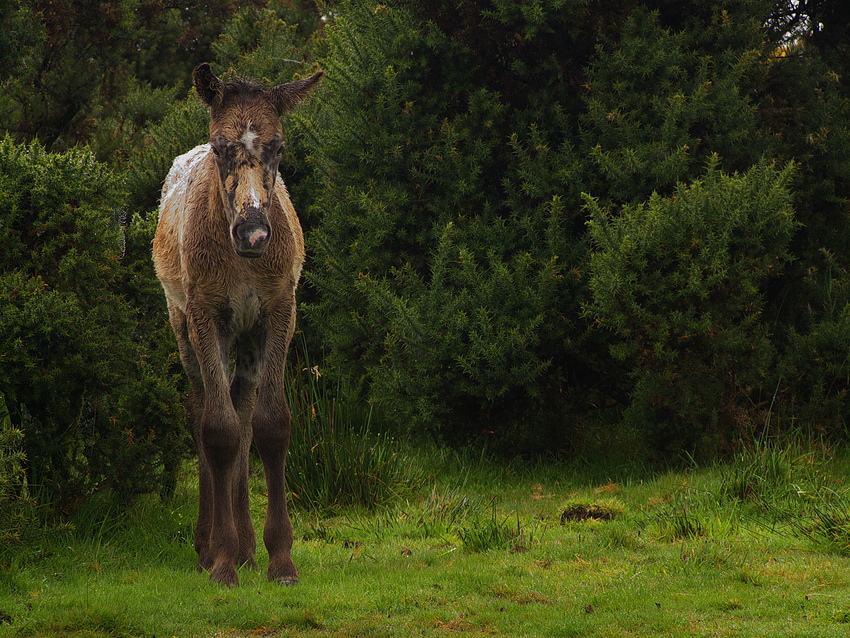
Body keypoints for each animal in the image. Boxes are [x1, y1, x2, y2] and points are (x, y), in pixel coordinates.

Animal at [151, 65, 320, 592]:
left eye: (278, 146)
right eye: (220, 146)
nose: (254, 233)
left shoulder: (278, 311)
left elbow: (269, 425)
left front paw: (279, 558)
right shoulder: (206, 314)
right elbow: (218, 429)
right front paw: (221, 560)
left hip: (245, 341)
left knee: (243, 415)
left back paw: (247, 546)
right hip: (185, 326)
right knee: (202, 409)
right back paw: (209, 546)